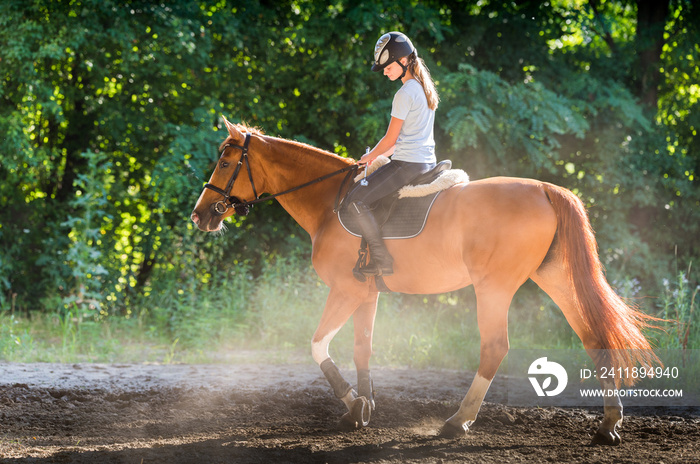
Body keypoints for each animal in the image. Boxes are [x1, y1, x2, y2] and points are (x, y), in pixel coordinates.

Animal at [190, 119, 656, 446]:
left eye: (226, 162)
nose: (200, 215)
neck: (329, 203)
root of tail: (544, 188)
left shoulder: (345, 290)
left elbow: (318, 345)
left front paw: (352, 402)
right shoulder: (366, 293)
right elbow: (362, 349)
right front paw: (361, 410)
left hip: (493, 288)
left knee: (494, 348)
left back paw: (457, 422)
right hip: (557, 281)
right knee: (593, 338)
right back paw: (607, 426)